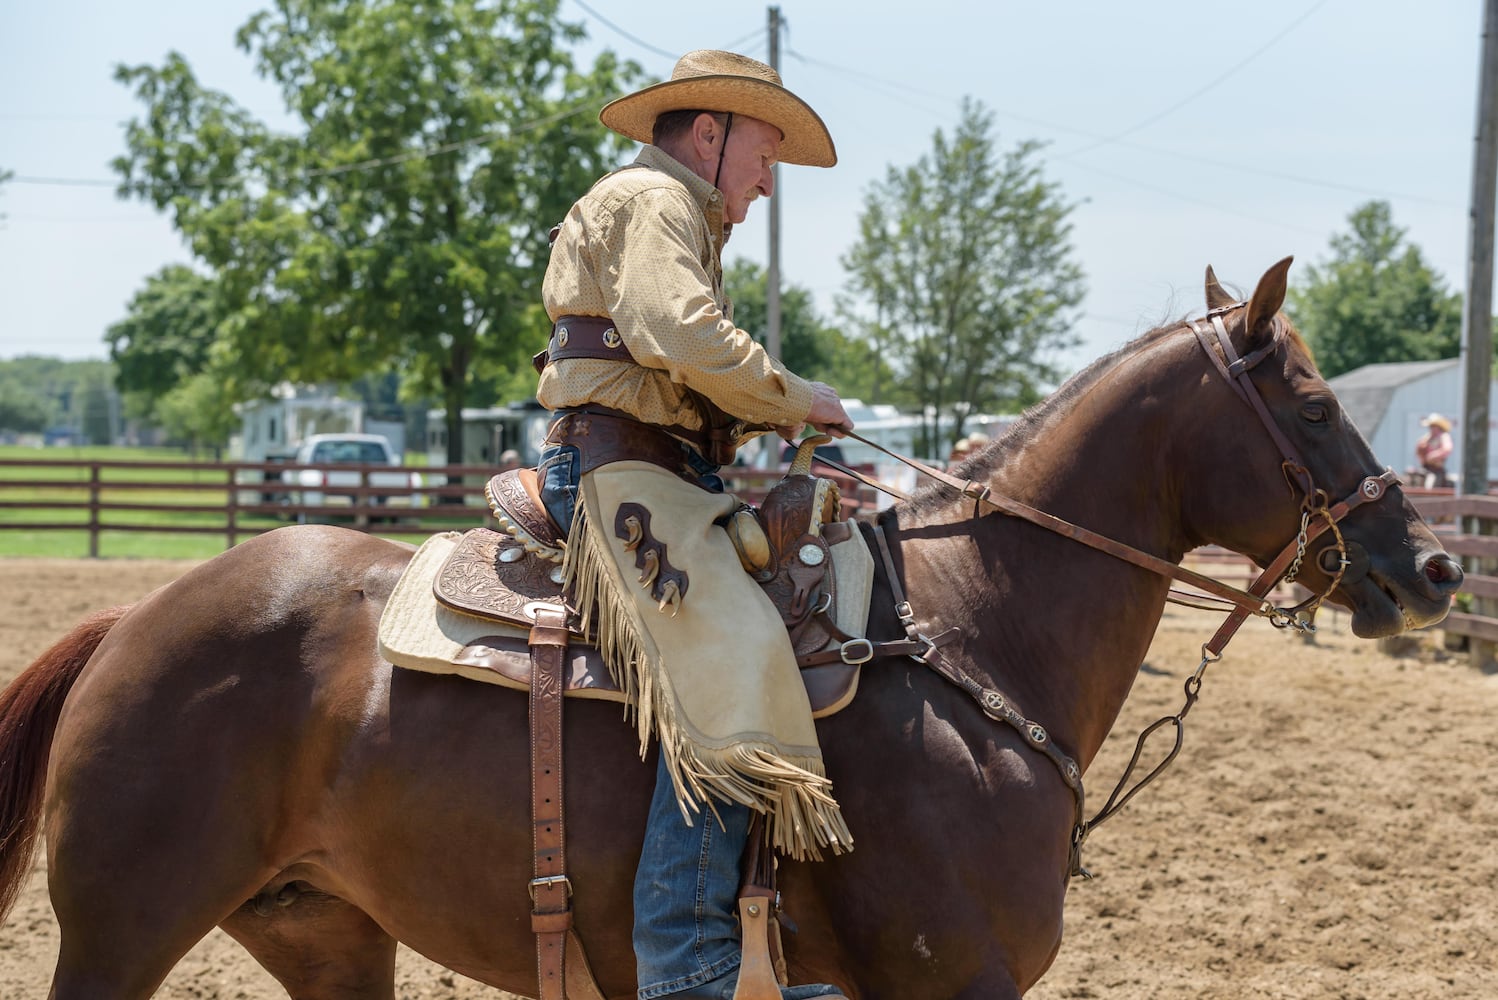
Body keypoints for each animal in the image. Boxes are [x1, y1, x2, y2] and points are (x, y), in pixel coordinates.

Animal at [0, 260, 1456, 999]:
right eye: (1313, 403)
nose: (1438, 565)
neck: (971, 642)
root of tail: (135, 617)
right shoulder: (954, 978)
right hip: (122, 930)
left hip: (323, 930)